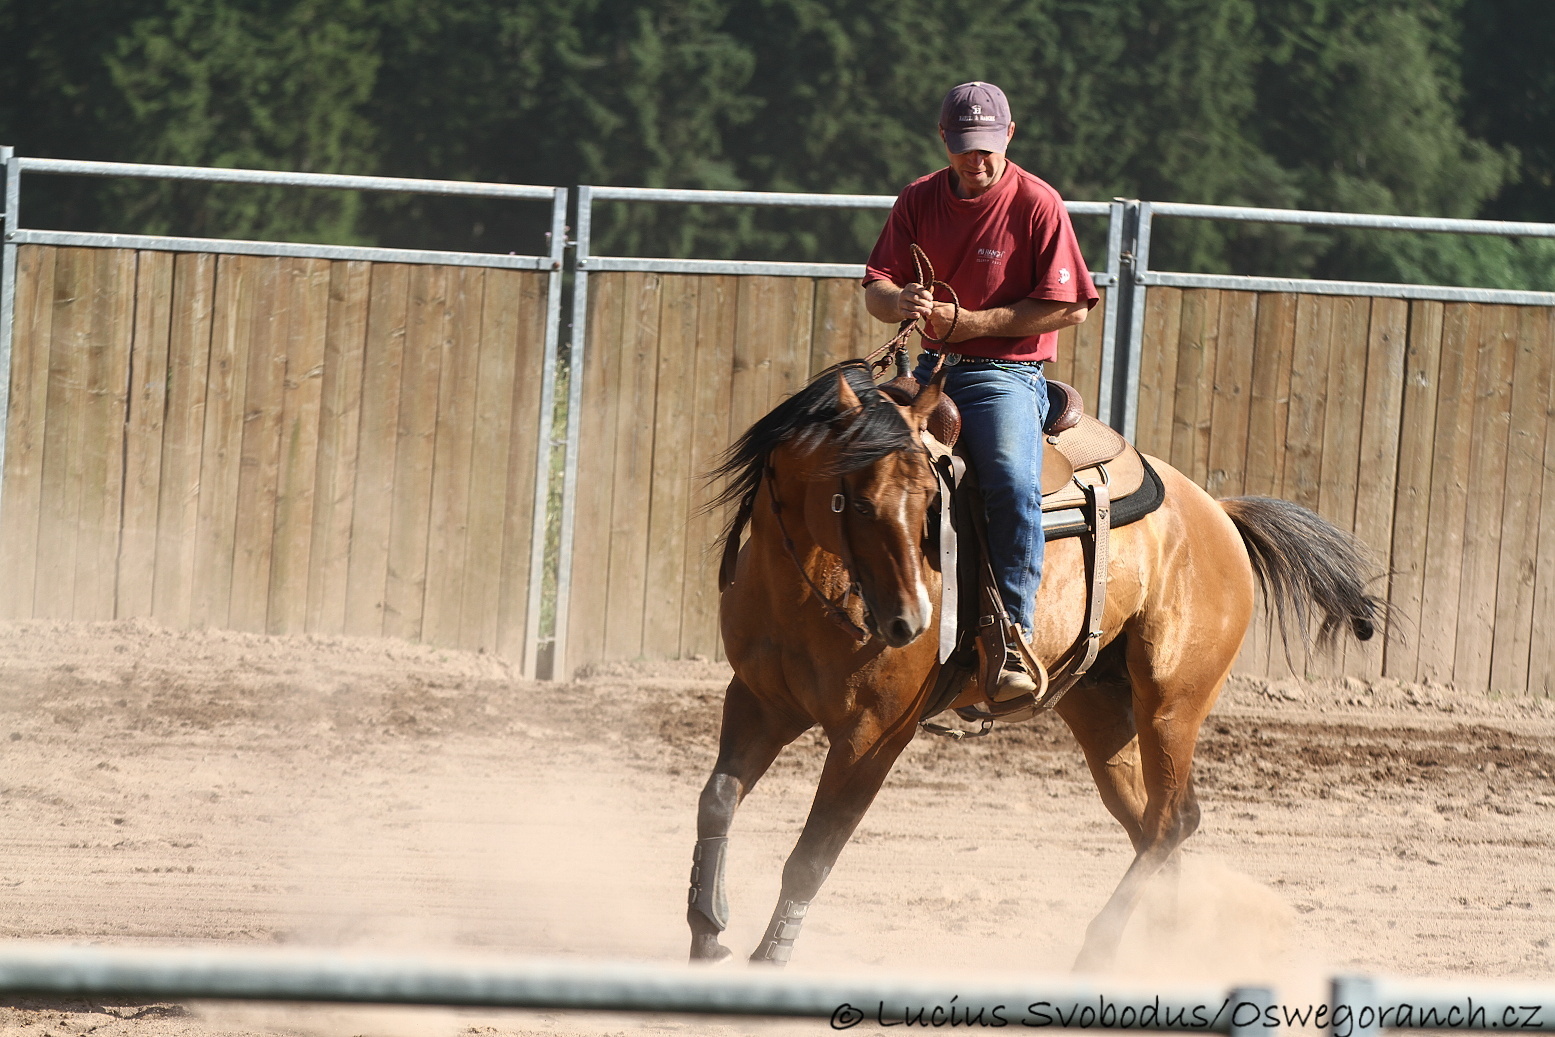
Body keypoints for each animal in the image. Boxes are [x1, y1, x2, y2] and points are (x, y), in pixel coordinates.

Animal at [687, 359, 1380, 976]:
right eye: (855, 502)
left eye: (931, 500)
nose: (910, 622)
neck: (805, 591)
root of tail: (1217, 512)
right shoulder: (756, 701)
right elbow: (717, 800)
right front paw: (707, 930)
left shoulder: (874, 735)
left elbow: (813, 855)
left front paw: (770, 956)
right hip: (1101, 707)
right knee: (1158, 822)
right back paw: (1163, 950)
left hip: (1172, 704)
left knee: (1167, 822)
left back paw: (1098, 951)